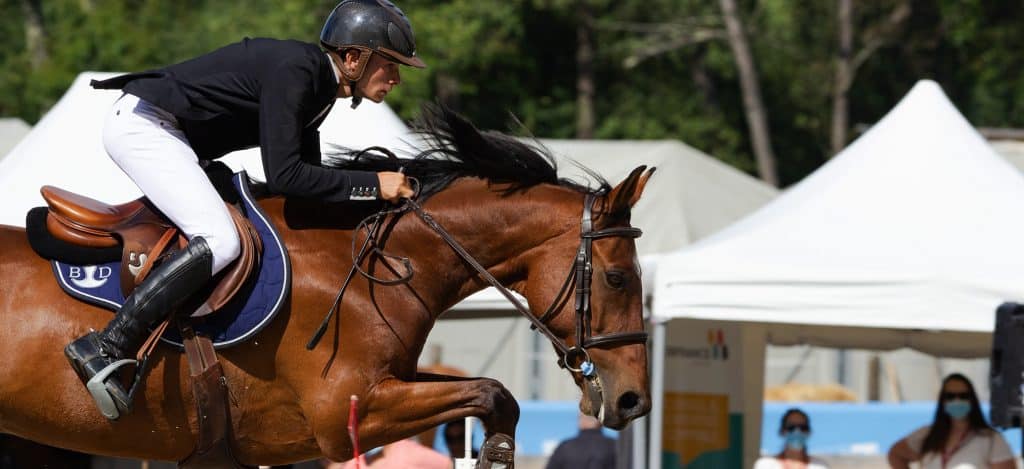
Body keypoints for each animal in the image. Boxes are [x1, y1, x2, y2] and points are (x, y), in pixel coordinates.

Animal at [0, 105, 653, 466]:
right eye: (618, 276)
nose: (633, 401)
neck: (374, 264)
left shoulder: (394, 382)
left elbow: (494, 396)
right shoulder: (347, 413)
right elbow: (493, 392)